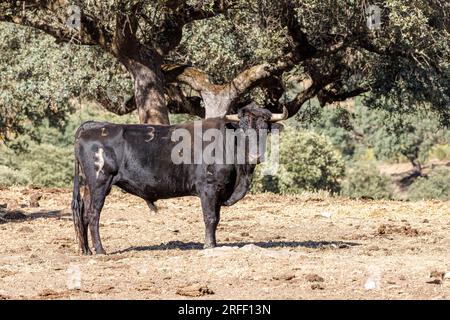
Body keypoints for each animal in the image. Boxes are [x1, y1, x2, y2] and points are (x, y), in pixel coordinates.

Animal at [72, 105, 286, 255]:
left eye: (265, 130)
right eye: (242, 130)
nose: (255, 156)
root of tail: (93, 126)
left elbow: (216, 219)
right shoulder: (208, 188)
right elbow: (211, 218)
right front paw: (209, 245)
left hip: (90, 185)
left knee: (83, 213)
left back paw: (86, 250)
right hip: (100, 182)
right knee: (93, 214)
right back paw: (100, 250)